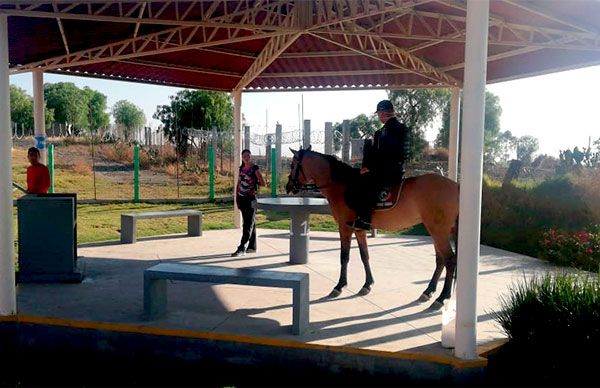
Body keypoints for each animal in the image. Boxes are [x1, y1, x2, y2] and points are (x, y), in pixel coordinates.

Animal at [286, 147, 460, 310]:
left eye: (293, 165)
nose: (288, 187)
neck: (341, 185)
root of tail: (456, 186)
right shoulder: (359, 230)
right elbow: (365, 256)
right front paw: (367, 284)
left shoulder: (344, 228)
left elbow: (344, 257)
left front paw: (339, 286)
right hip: (435, 230)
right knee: (440, 260)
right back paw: (428, 291)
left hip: (438, 231)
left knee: (450, 260)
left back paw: (442, 297)